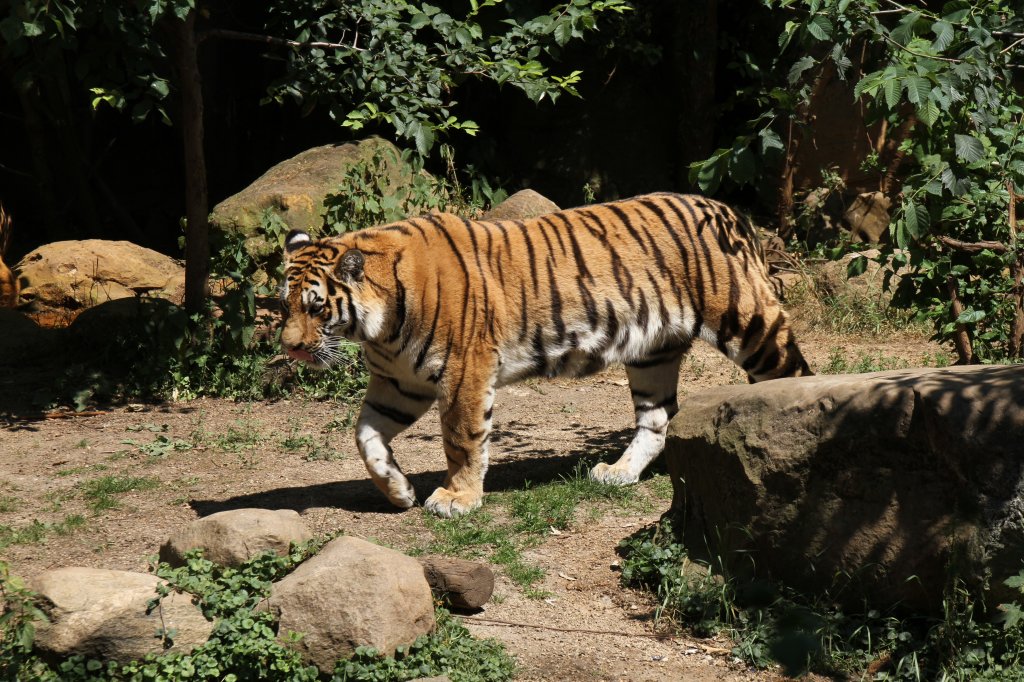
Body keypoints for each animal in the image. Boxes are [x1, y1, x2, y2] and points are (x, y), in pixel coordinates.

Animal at [278, 191, 806, 516]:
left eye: (316, 306)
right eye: (284, 304)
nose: (289, 347)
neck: (379, 327)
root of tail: (727, 210)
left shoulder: (463, 373)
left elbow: (462, 439)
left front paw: (456, 498)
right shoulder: (399, 383)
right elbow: (365, 435)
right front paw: (398, 491)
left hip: (748, 322)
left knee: (790, 372)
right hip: (651, 354)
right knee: (656, 420)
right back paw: (618, 474)